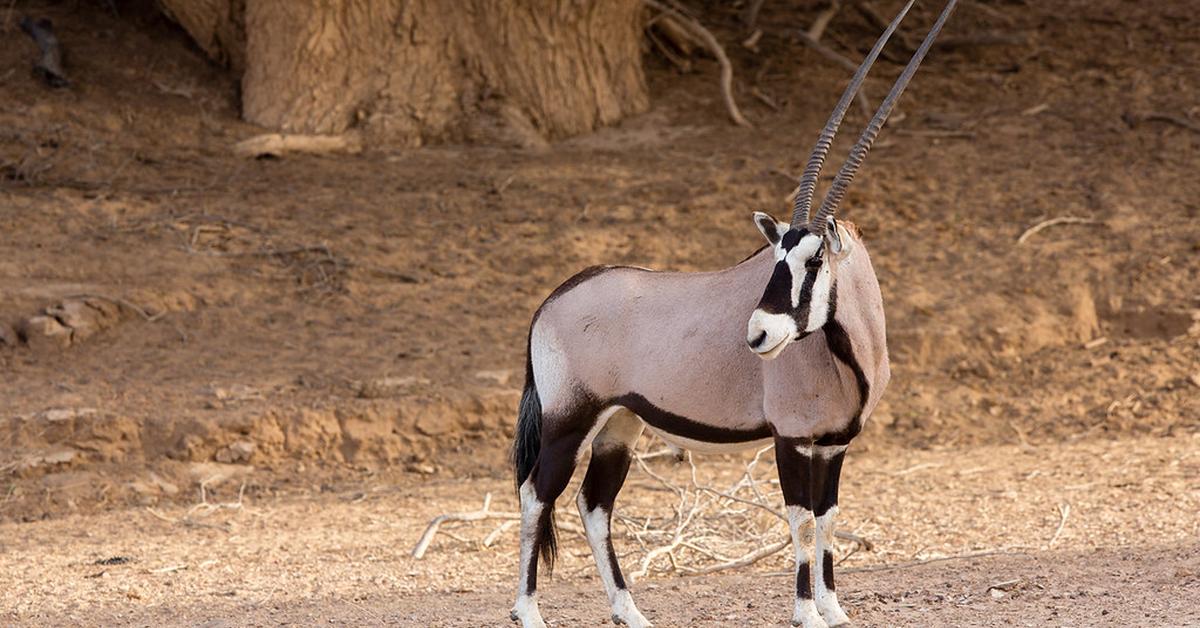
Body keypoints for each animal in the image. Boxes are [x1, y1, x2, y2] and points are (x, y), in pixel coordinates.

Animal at [511, 2, 960, 624]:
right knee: (537, 493)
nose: (759, 333)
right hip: (569, 419)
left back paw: (630, 612)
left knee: (594, 504)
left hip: (619, 424)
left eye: (814, 257)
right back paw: (528, 611)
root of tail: (551, 300)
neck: (849, 353)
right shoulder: (791, 438)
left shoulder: (834, 444)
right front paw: (805, 613)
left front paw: (835, 610)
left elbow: (827, 519)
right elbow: (800, 522)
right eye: (775, 257)